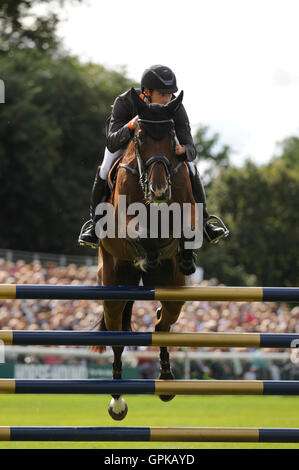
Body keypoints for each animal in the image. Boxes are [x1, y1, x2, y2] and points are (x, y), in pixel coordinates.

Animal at [95, 90, 200, 420]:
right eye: (139, 138)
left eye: (171, 137)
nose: (159, 190)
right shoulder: (122, 224)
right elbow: (138, 232)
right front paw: (147, 251)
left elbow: (186, 227)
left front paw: (184, 254)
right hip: (113, 288)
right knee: (117, 337)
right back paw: (117, 400)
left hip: (174, 292)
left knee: (161, 325)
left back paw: (165, 380)